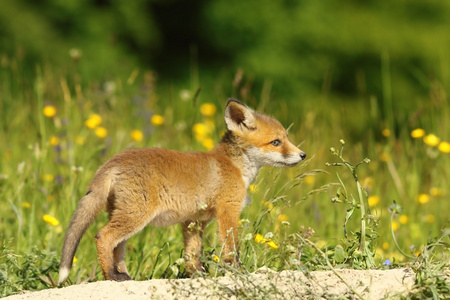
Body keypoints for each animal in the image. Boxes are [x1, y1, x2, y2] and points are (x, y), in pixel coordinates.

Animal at [58, 99, 306, 284]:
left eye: (286, 138)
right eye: (276, 142)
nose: (303, 155)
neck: (234, 166)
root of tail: (113, 161)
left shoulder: (193, 221)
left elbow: (191, 256)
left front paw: (198, 277)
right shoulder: (228, 210)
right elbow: (231, 250)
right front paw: (237, 273)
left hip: (124, 216)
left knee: (116, 247)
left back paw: (122, 274)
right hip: (135, 216)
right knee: (102, 236)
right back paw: (111, 276)